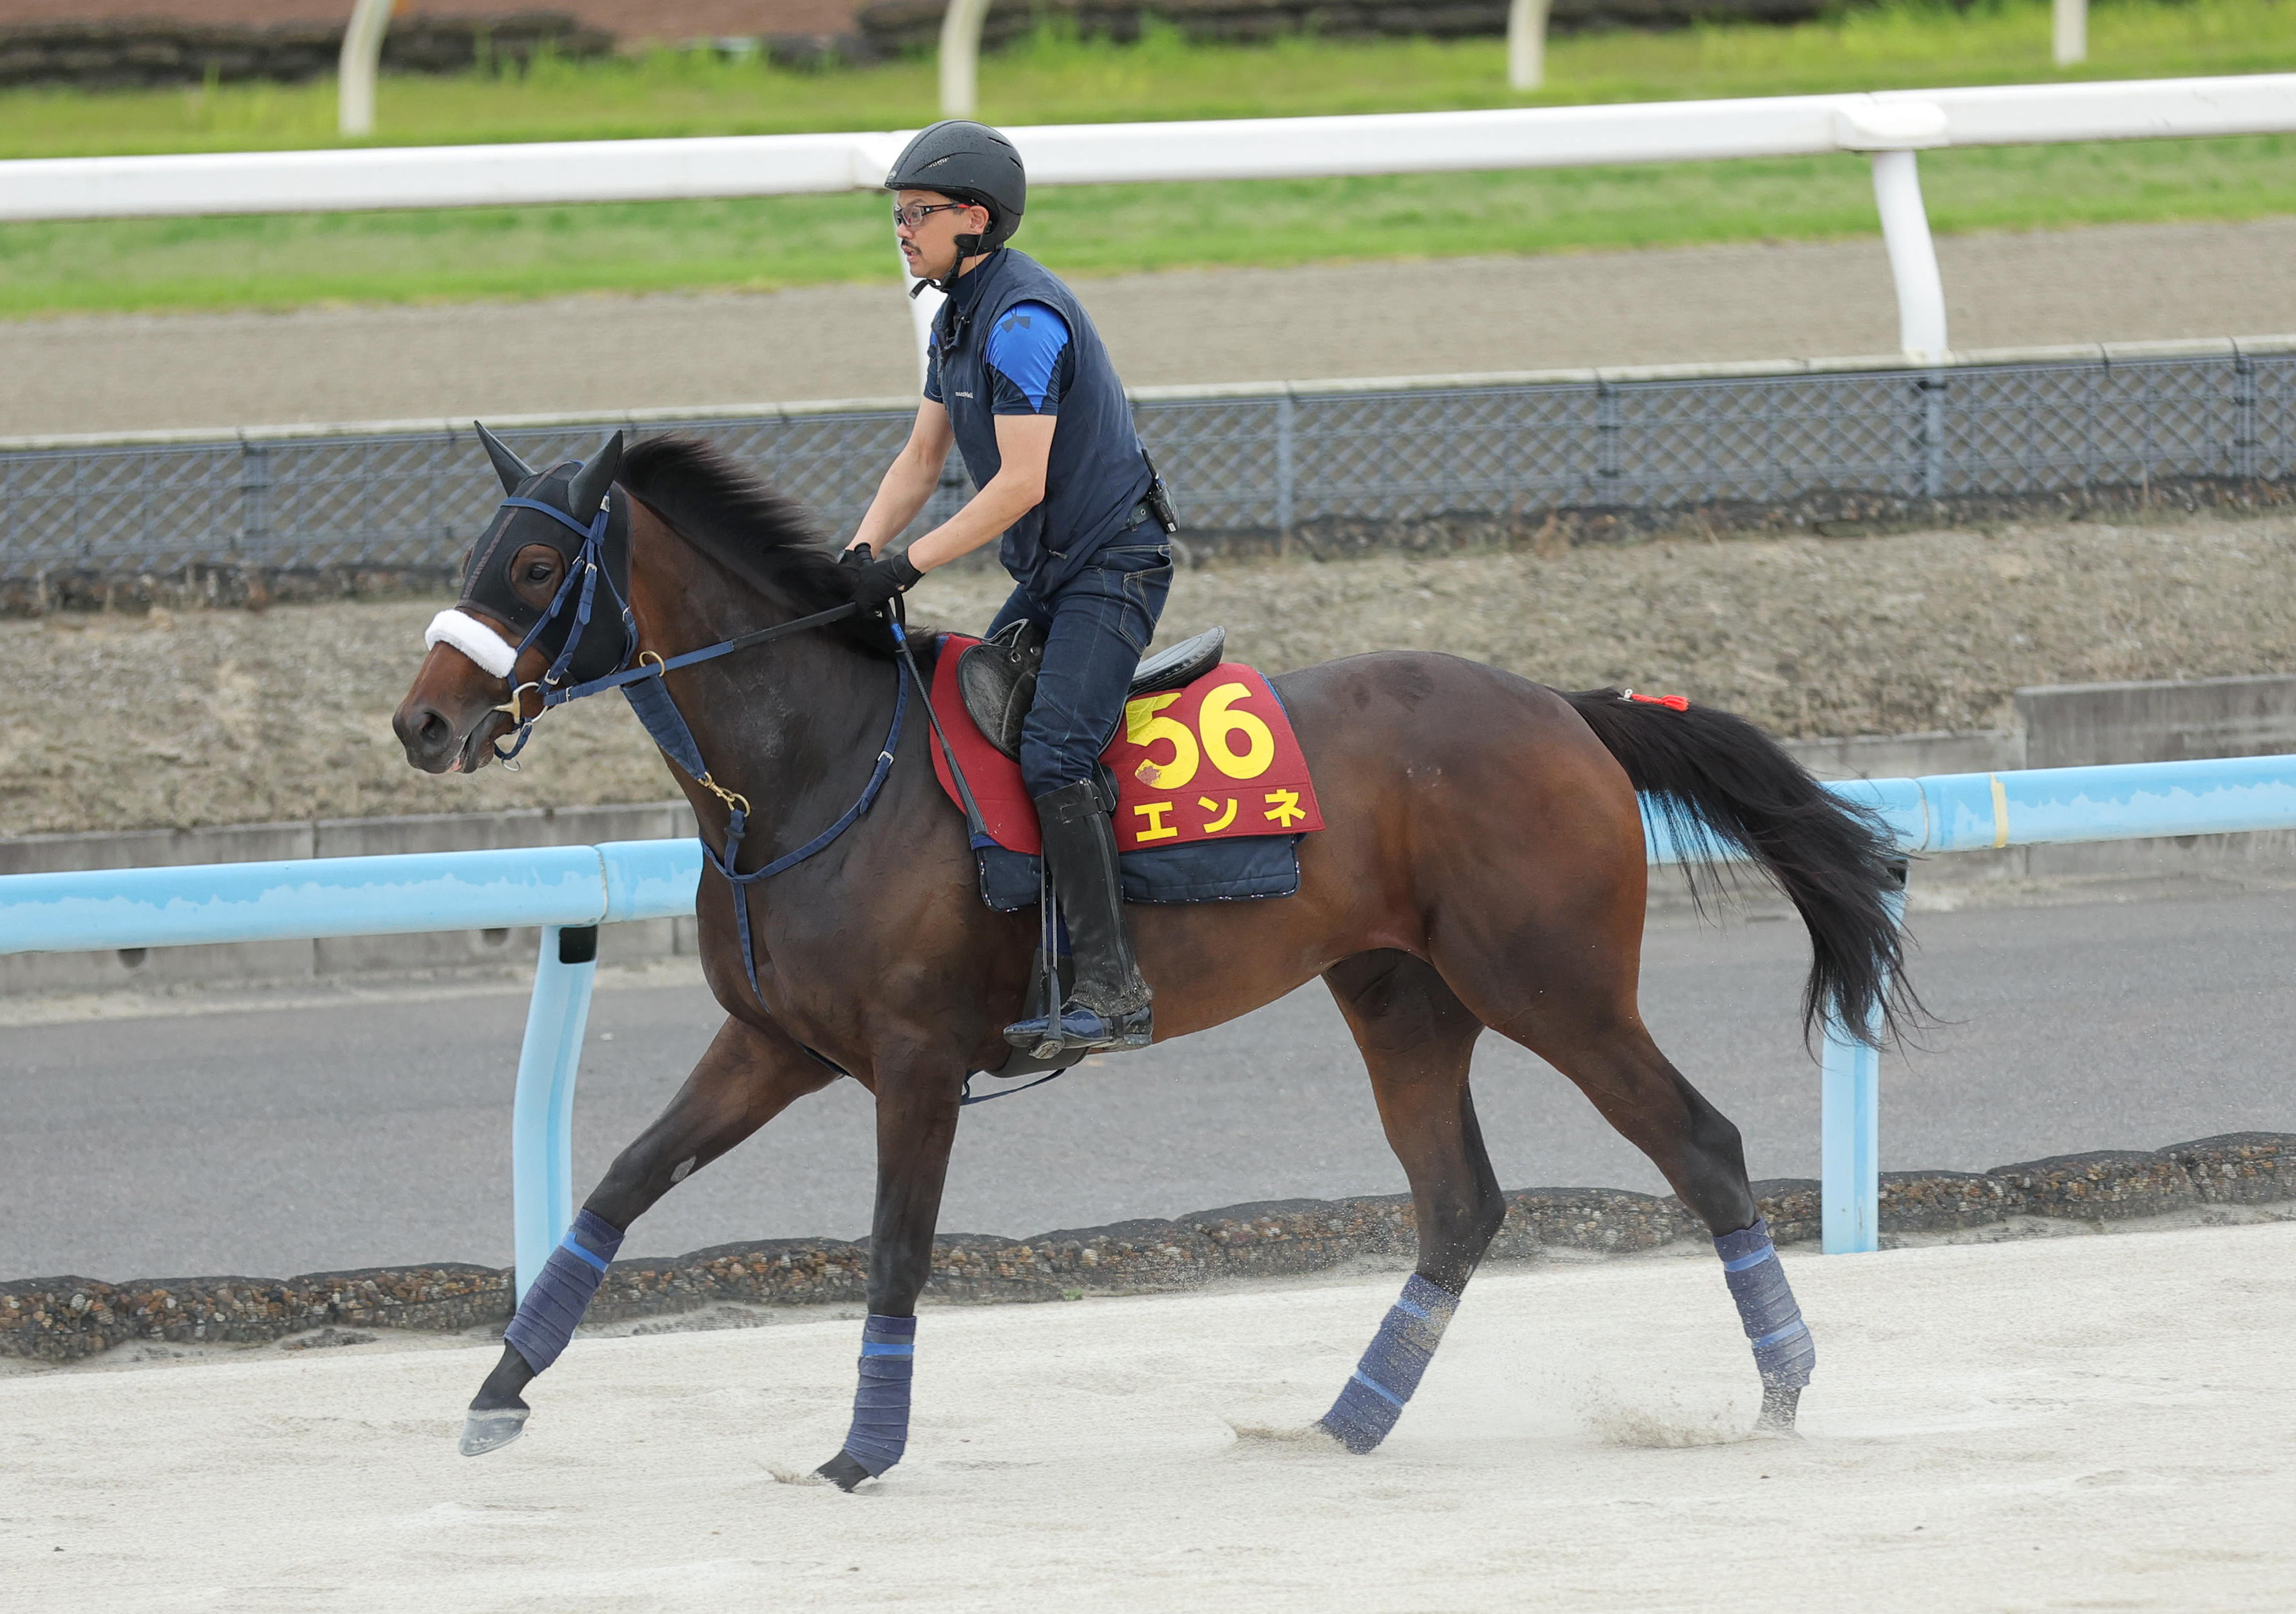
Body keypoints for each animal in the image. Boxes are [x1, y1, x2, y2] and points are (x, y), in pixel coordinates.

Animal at [392, 428, 1912, 1488]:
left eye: (536, 567)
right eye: (473, 551)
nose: (422, 721)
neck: (817, 766)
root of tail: (1565, 705)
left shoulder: (916, 1062)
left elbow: (894, 1246)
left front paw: (861, 1448)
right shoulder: (773, 1043)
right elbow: (620, 1183)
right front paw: (498, 1389)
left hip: (1555, 984)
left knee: (1699, 1143)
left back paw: (1780, 1388)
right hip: (1401, 997)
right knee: (1458, 1203)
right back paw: (1345, 1418)